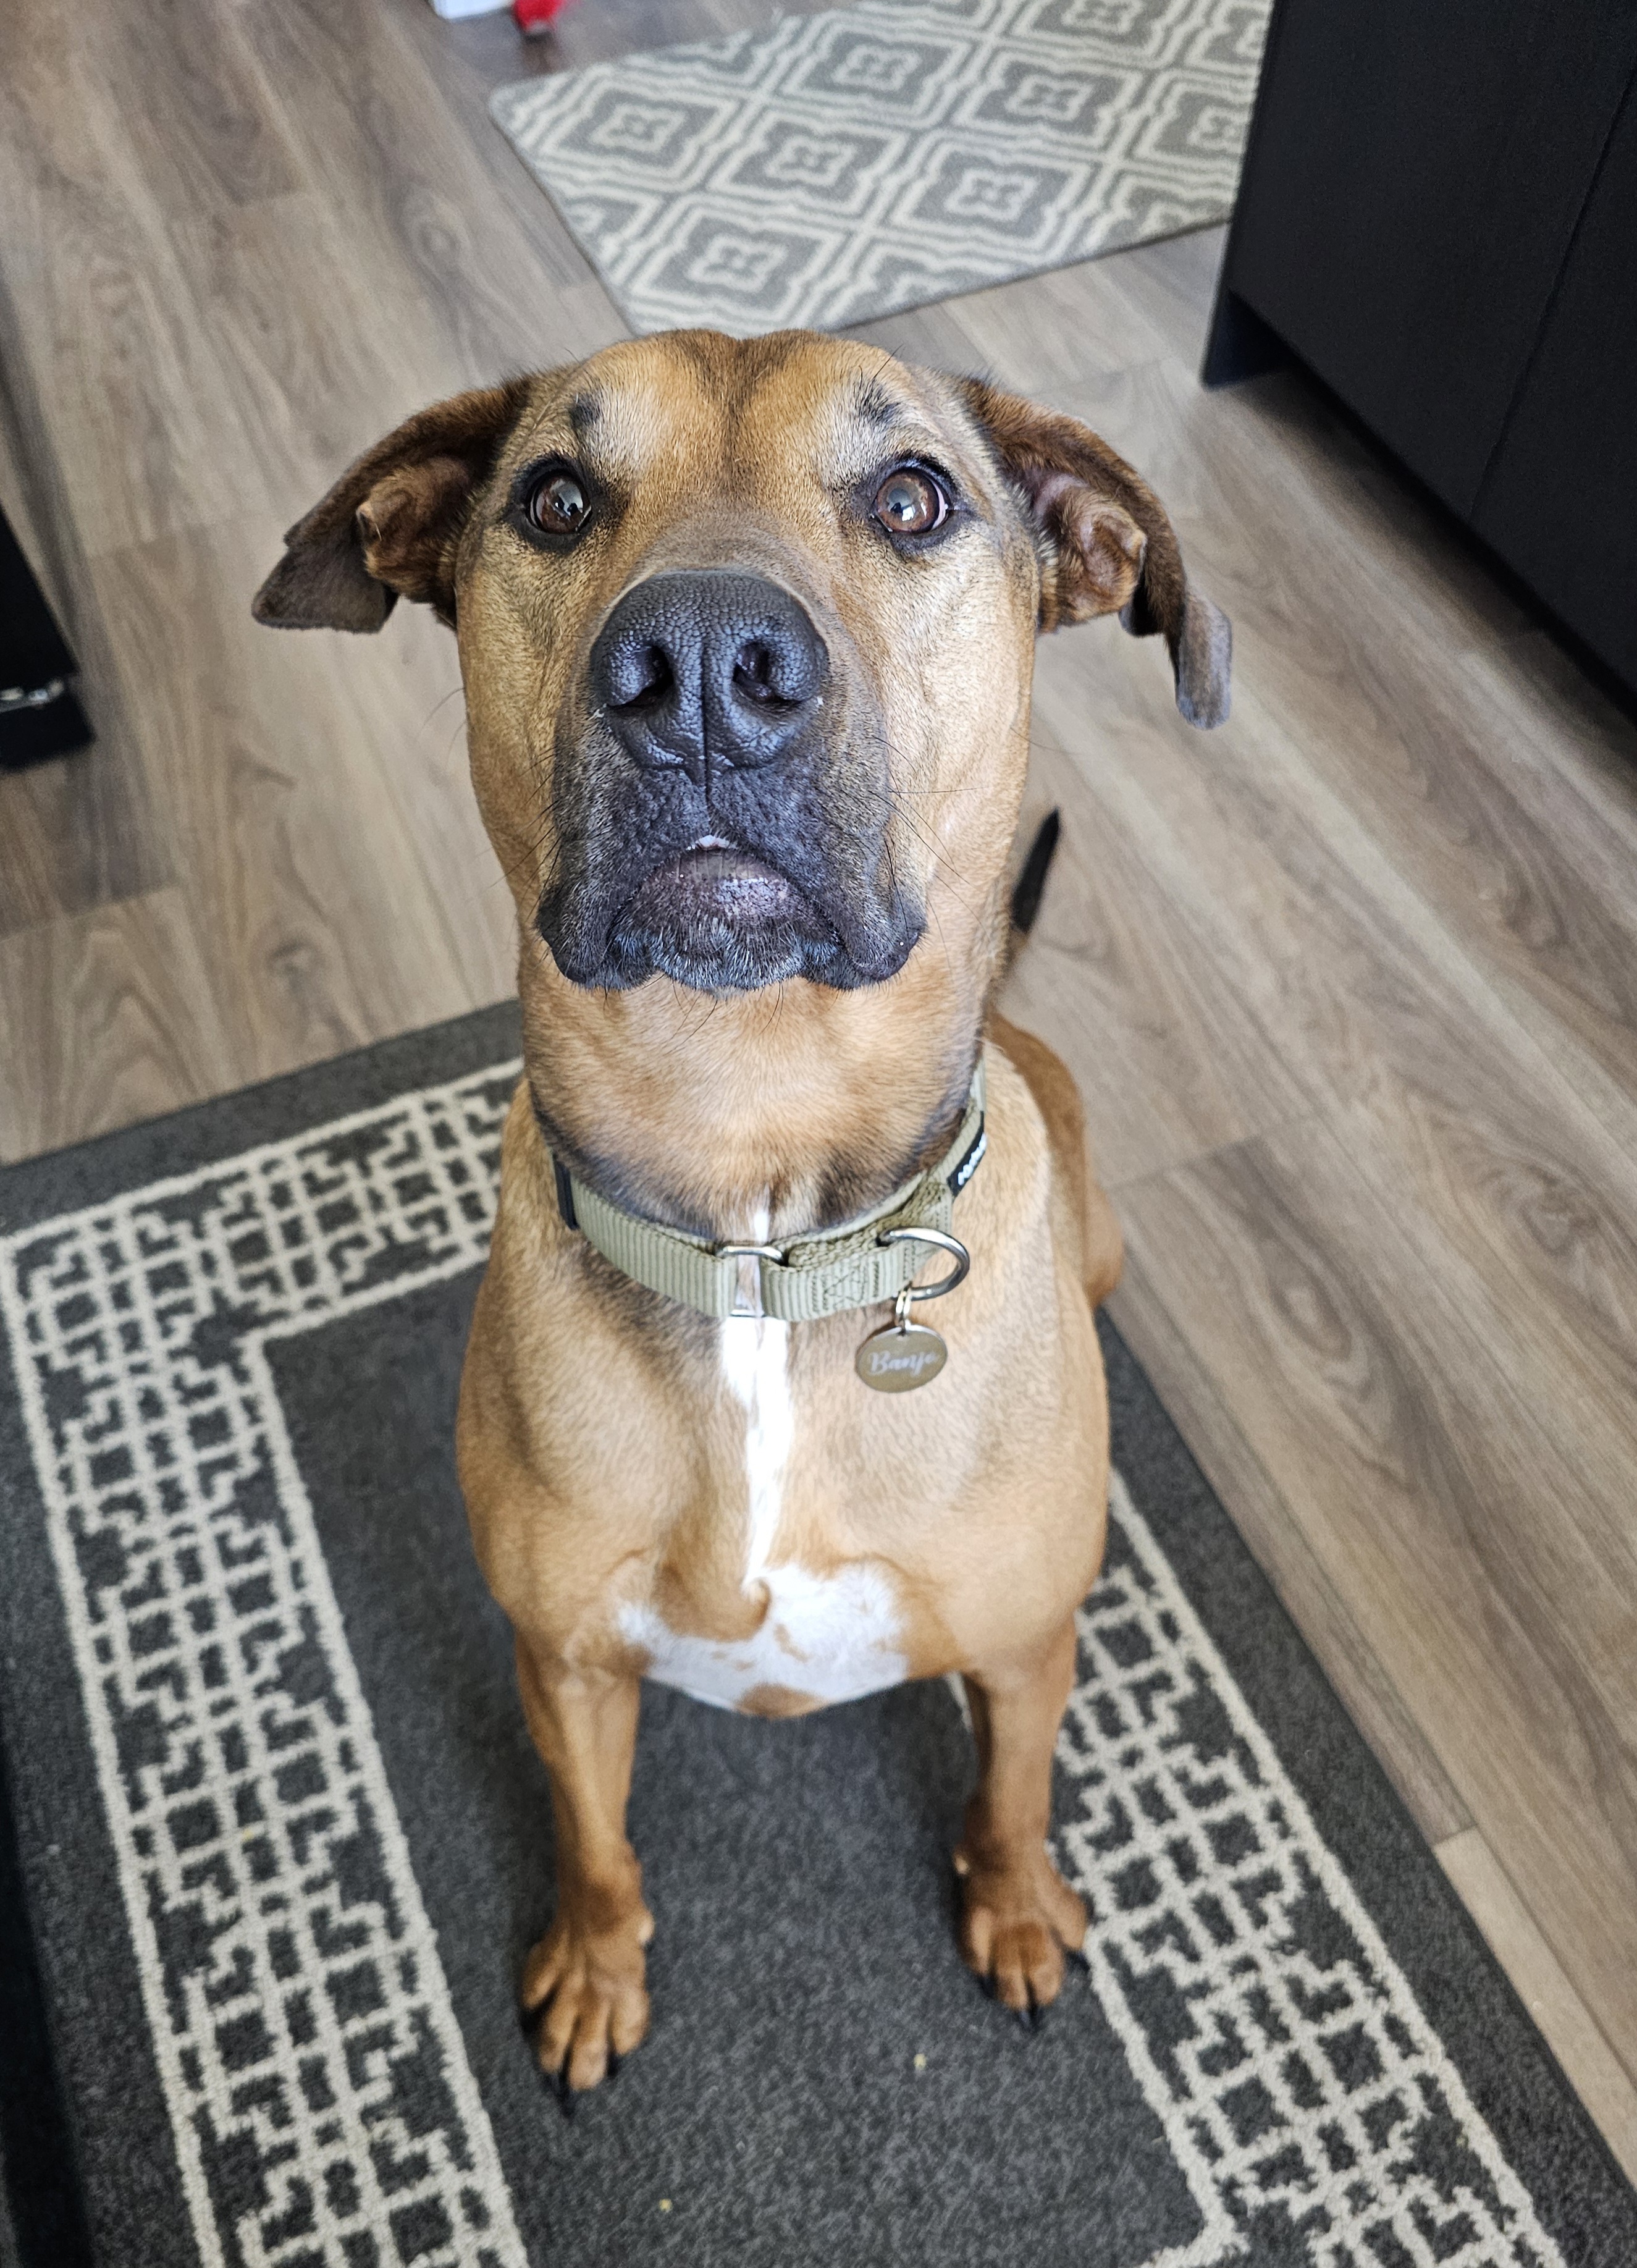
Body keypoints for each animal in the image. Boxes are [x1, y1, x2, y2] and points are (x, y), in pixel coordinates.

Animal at [255, 329, 1224, 2096]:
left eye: (911, 495)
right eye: (554, 500)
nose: (701, 662)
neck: (763, 1222)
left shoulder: (1024, 1647)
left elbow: (1009, 1791)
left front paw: (1017, 1907)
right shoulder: (561, 1658)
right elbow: (594, 1838)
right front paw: (593, 1966)